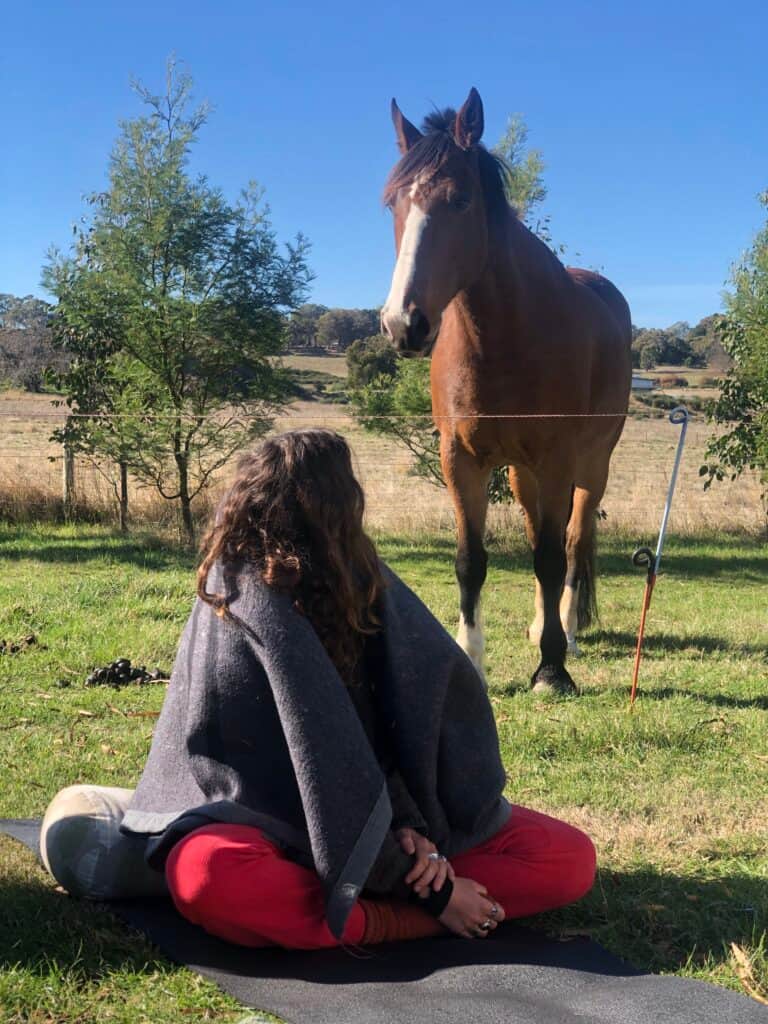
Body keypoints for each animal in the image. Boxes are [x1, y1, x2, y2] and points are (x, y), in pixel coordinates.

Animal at [380, 88, 632, 695]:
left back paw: (566, 631)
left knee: (571, 544)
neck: (504, 337)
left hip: (592, 465)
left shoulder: (559, 458)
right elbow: (472, 560)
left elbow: (551, 557)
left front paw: (553, 669)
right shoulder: (461, 459)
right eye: (392, 203)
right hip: (522, 474)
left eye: (460, 200)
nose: (403, 324)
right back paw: (543, 625)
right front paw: (473, 660)